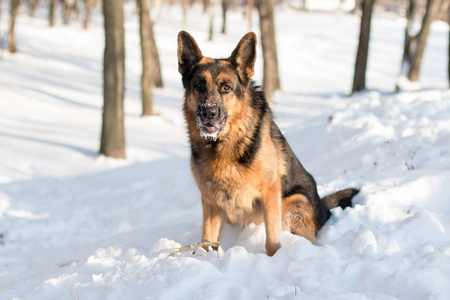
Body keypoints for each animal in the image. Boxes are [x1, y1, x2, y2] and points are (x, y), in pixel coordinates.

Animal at [176, 29, 358, 255]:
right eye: (199, 85)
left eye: (226, 87)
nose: (209, 112)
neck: (224, 144)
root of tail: (323, 208)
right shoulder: (210, 202)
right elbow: (206, 240)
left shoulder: (270, 193)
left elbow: (272, 240)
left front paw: (274, 257)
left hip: (294, 206)